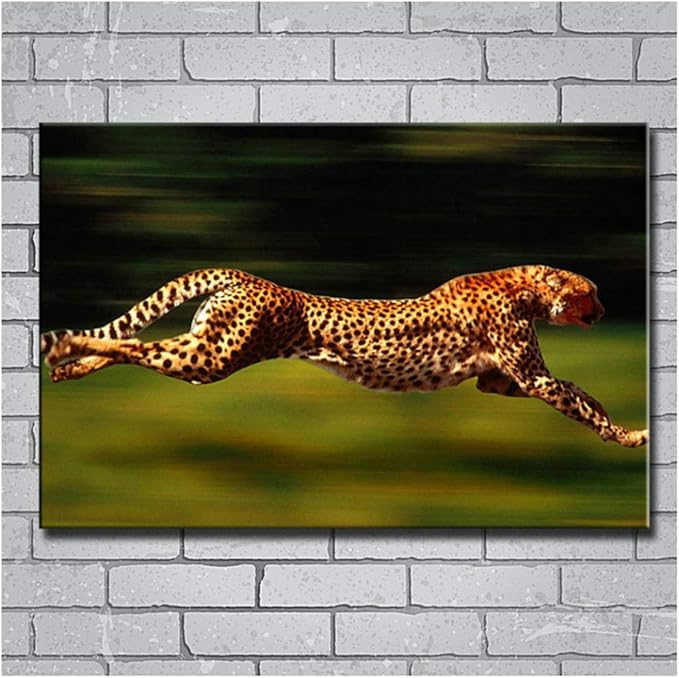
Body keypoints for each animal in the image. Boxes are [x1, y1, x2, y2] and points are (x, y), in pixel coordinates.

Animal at [41, 264, 648, 447]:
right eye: (591, 290)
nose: (604, 307)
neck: (525, 286)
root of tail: (244, 274)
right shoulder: (529, 379)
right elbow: (576, 399)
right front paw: (628, 436)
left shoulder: (498, 382)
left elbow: (579, 391)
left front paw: (615, 422)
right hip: (214, 359)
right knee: (135, 344)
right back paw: (68, 348)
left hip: (204, 351)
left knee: (138, 347)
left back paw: (70, 365)